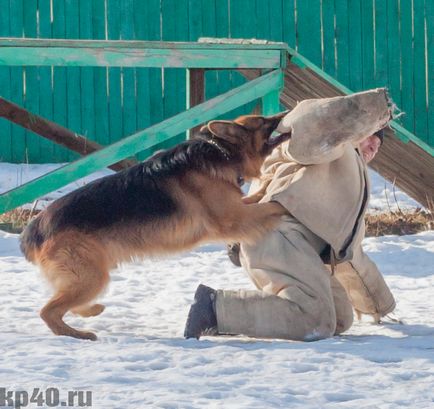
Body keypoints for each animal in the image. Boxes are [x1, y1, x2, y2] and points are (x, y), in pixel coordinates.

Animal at [21, 111, 292, 338]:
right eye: (263, 121)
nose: (285, 113)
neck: (221, 152)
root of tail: (33, 229)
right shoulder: (233, 218)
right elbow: (270, 206)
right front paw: (285, 202)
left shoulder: (237, 208)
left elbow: (258, 199)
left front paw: (268, 187)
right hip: (91, 277)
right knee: (48, 311)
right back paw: (77, 334)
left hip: (88, 277)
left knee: (65, 304)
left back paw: (91, 311)